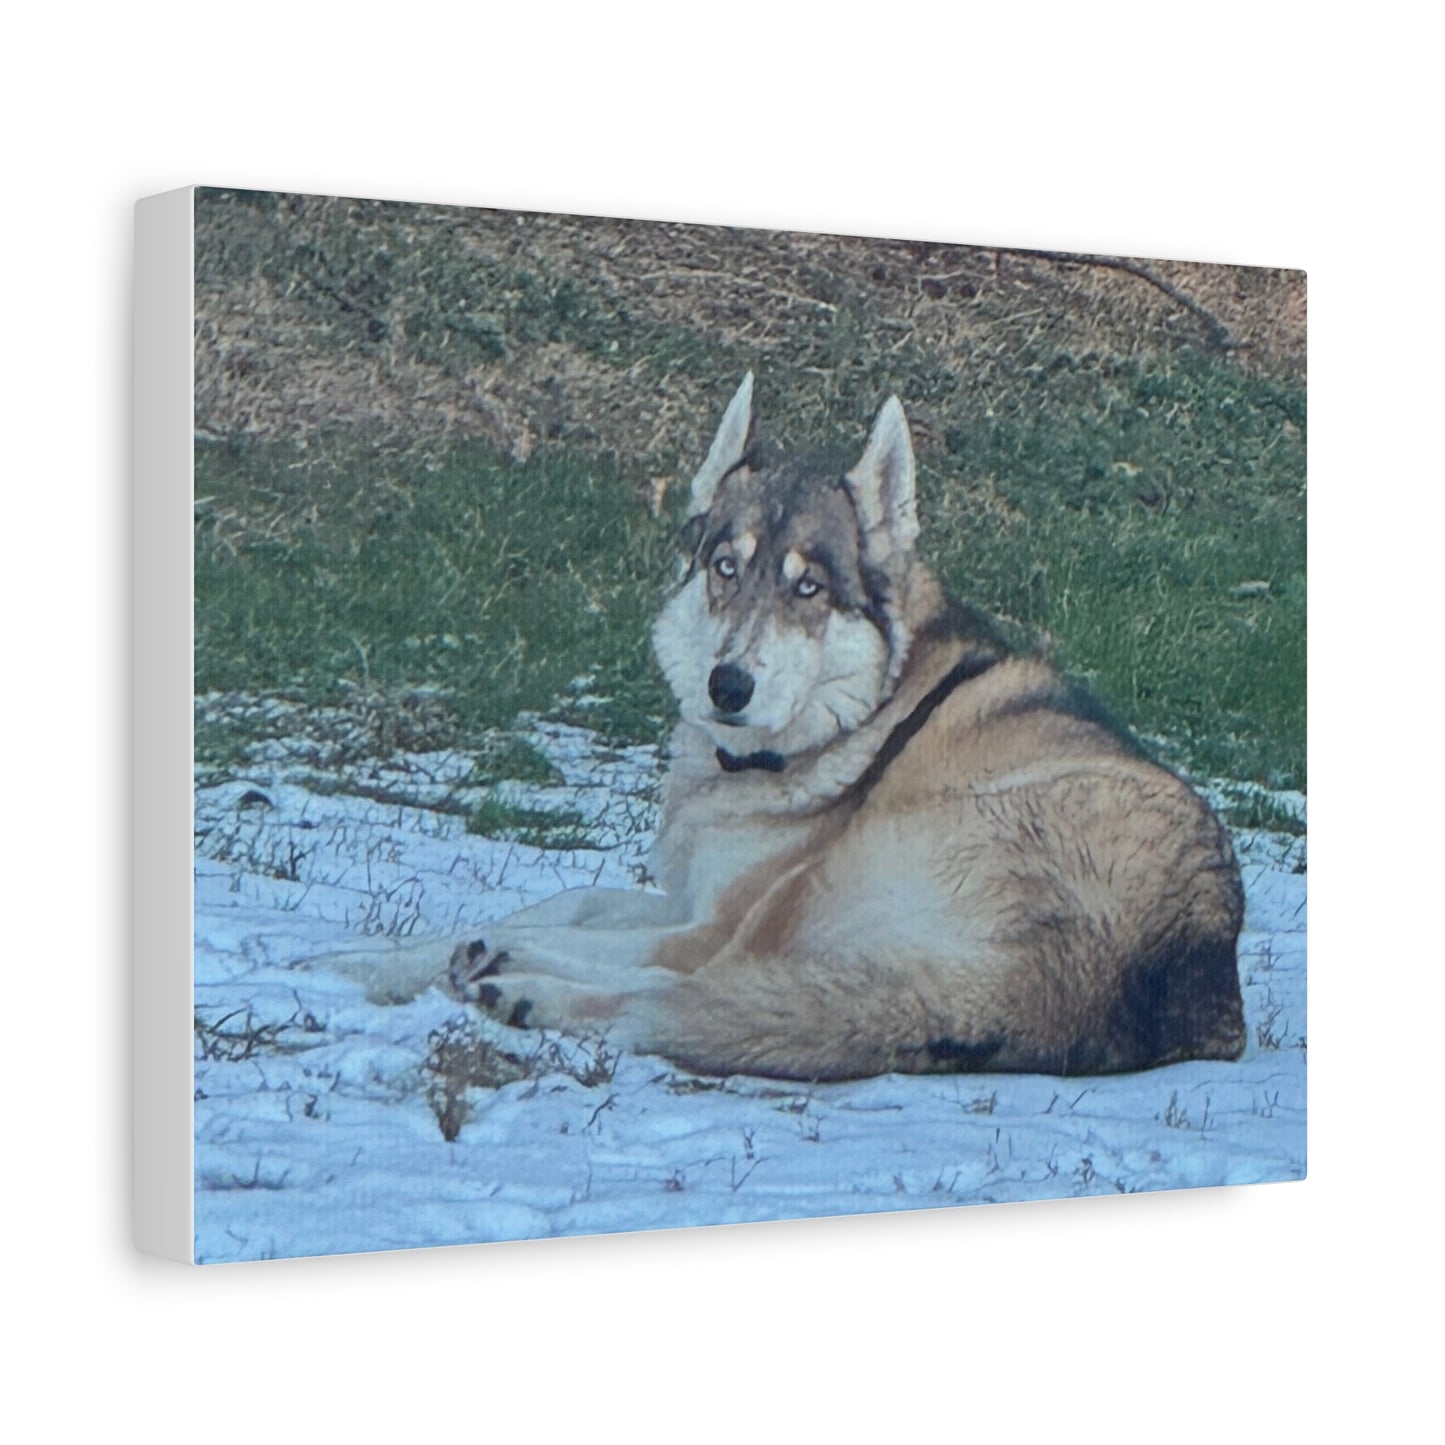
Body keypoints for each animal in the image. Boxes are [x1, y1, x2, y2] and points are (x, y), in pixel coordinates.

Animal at [348, 374, 1246, 1080]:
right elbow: (567, 900)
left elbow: (563, 931)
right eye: (725, 568)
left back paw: (522, 985)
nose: (729, 684)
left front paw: (432, 960)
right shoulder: (690, 894)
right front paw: (365, 960)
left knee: (678, 986)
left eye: (807, 588)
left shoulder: (712, 918)